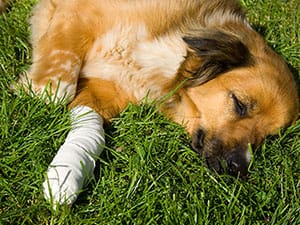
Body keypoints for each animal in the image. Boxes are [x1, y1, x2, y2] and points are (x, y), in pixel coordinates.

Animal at [18, 0, 298, 207]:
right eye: (239, 104)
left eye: (268, 138)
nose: (238, 167)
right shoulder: (78, 14)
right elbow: (58, 89)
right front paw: (36, 88)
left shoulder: (105, 92)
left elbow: (89, 124)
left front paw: (67, 176)